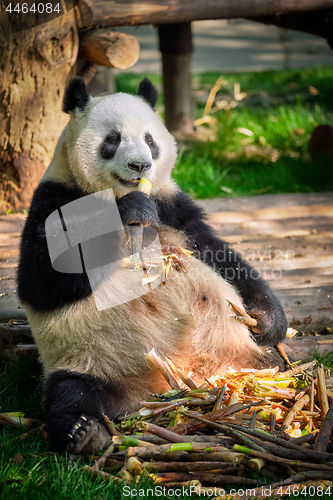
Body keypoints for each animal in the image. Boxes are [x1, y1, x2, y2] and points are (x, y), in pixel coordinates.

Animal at [18, 76, 286, 456]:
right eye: (112, 140)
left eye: (149, 140)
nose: (140, 166)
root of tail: (171, 385)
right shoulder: (55, 199)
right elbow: (44, 278)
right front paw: (129, 211)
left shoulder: (171, 205)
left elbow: (218, 253)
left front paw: (266, 319)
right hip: (86, 359)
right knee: (70, 394)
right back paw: (85, 432)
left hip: (244, 356)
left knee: (276, 364)